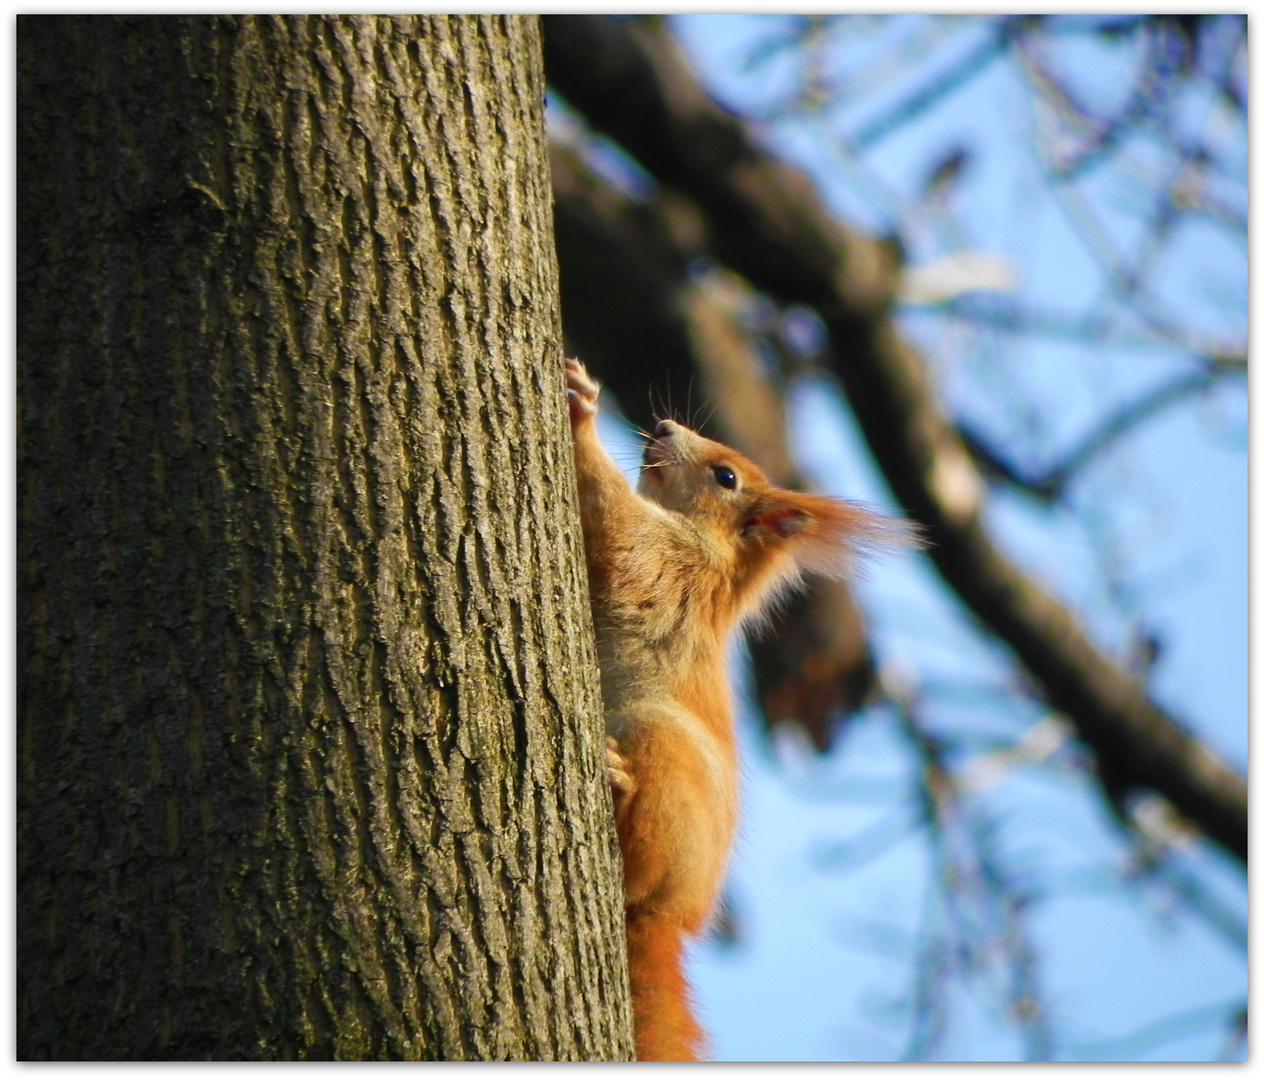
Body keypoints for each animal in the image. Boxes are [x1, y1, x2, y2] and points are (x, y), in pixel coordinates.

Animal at [563, 359, 910, 1062]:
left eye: (726, 477)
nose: (662, 426)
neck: (714, 558)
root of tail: (673, 919)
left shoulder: (667, 564)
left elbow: (614, 525)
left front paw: (583, 410)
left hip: (659, 739)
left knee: (642, 867)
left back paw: (619, 788)